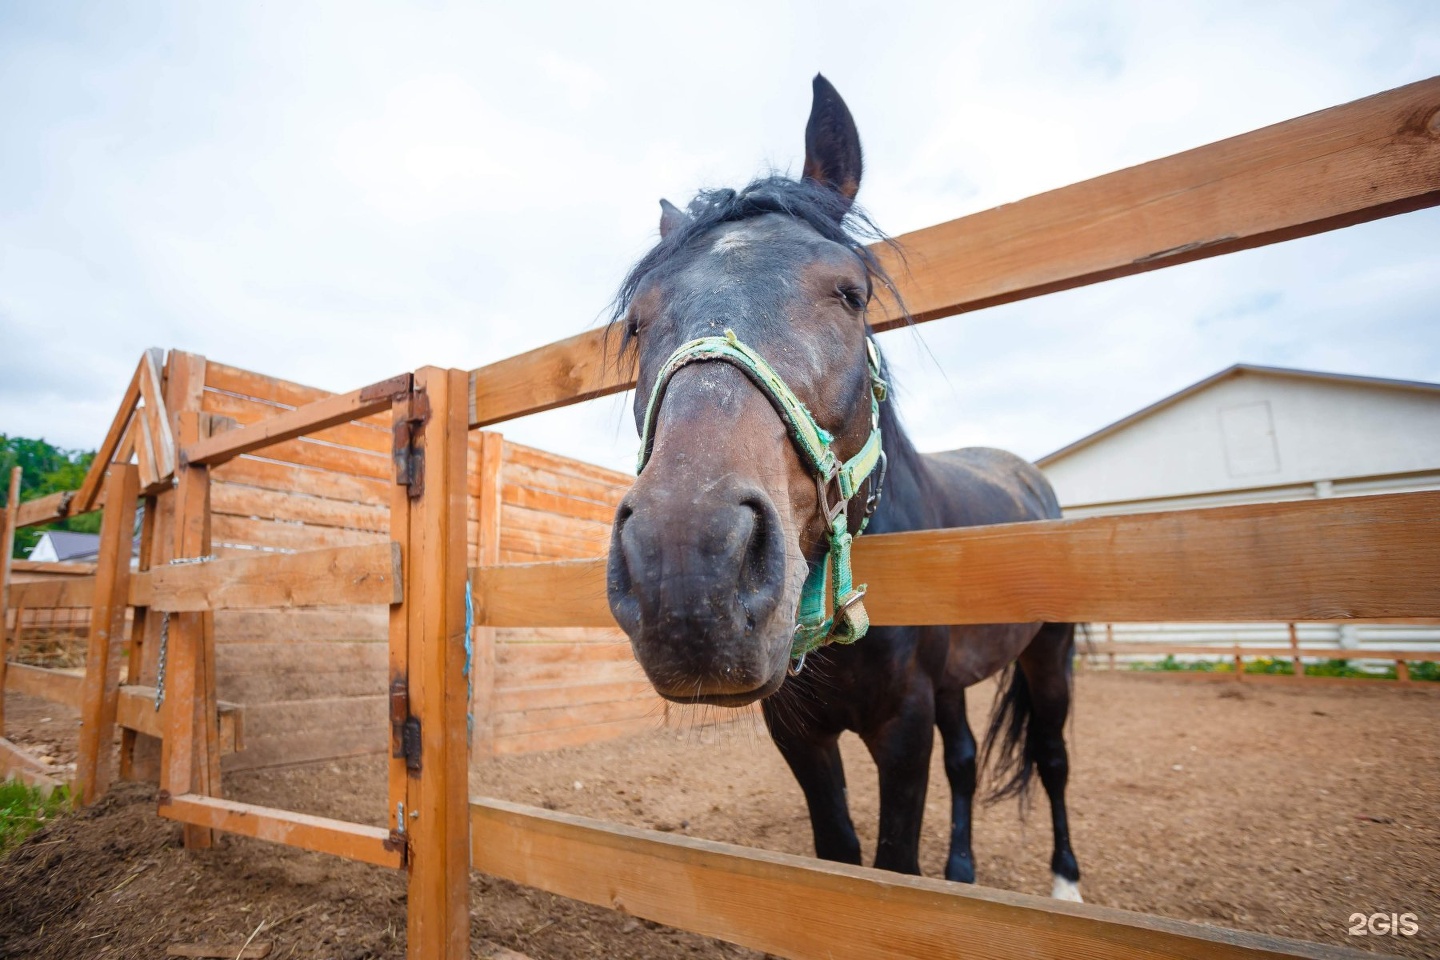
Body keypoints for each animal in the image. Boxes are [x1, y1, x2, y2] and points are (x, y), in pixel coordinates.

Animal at [599, 73, 1082, 903]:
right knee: (967, 761)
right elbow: (842, 856)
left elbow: (894, 864)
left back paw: (1066, 884)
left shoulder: (904, 727)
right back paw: (963, 870)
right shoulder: (801, 732)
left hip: (1049, 655)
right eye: (637, 323)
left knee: (1051, 760)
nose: (686, 565)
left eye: (851, 294)